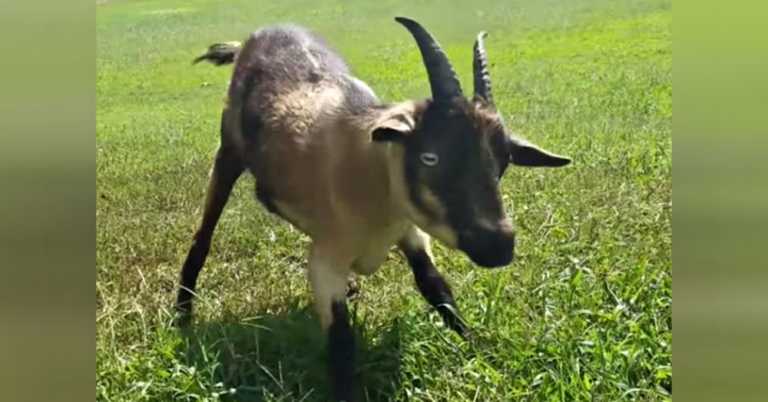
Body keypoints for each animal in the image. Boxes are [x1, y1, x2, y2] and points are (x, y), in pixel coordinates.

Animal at [177, 17, 571, 401]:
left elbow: (436, 288)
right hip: (228, 151)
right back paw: (182, 315)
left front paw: (480, 352)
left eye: (502, 163)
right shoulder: (327, 261)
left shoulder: (410, 230)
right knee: (204, 233)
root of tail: (254, 36)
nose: (498, 245)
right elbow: (341, 340)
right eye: (429, 156)